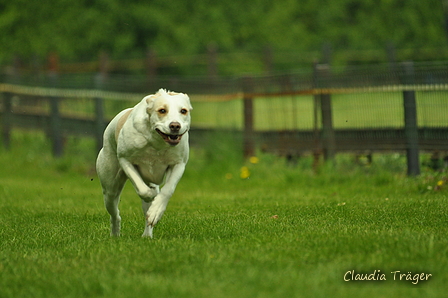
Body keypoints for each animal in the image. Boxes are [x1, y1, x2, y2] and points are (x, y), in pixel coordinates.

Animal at [96, 88, 191, 237]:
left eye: (183, 111)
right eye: (162, 110)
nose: (175, 126)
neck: (156, 142)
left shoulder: (178, 164)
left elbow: (167, 190)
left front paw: (156, 210)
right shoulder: (125, 160)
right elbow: (143, 190)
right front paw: (151, 194)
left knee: (147, 213)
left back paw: (147, 234)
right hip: (109, 188)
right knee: (115, 213)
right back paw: (115, 234)